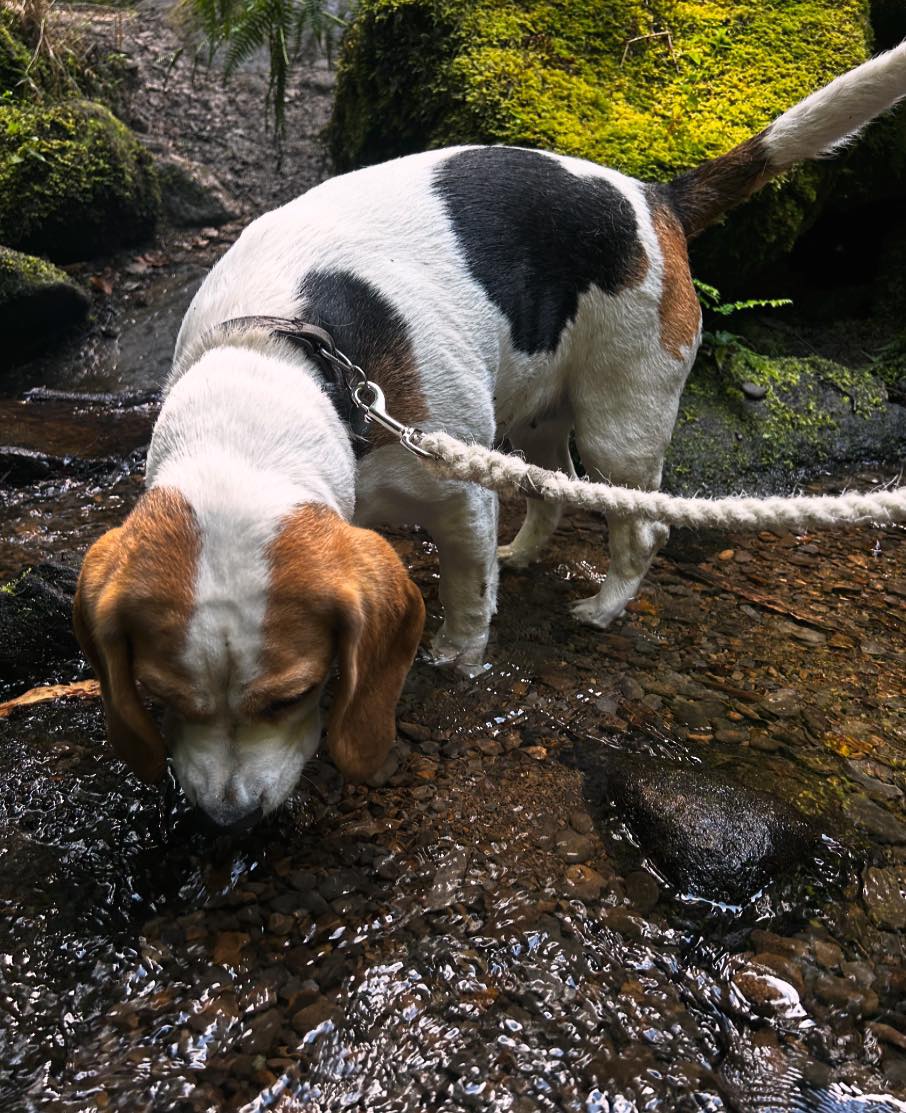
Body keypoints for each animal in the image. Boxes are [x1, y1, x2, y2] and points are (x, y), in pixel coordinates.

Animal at [76, 43, 906, 828]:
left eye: (292, 695)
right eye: (157, 695)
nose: (229, 819)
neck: (282, 361)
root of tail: (653, 197)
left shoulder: (458, 497)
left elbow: (468, 592)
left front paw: (457, 658)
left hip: (620, 427)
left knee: (643, 528)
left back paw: (603, 607)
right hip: (541, 412)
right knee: (551, 493)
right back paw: (528, 552)